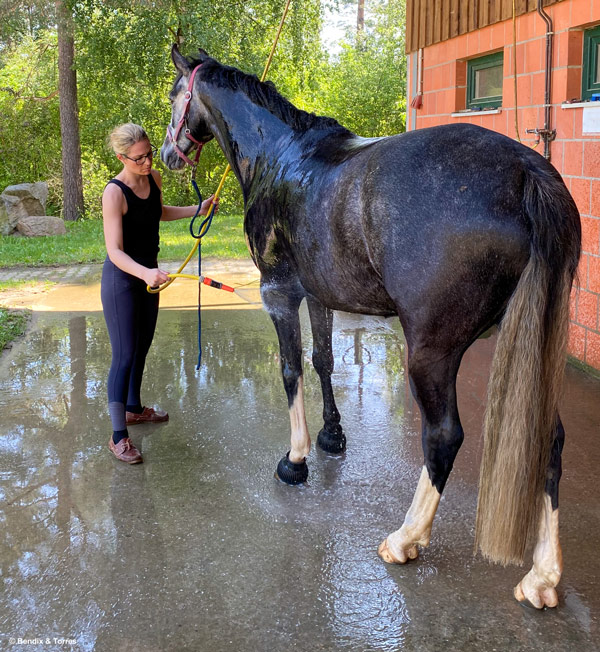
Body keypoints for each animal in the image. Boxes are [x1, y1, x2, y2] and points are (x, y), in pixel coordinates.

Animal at [161, 44, 580, 608]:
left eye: (174, 95)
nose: (168, 154)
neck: (280, 156)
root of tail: (526, 171)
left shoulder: (279, 294)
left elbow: (291, 371)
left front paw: (295, 461)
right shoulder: (318, 296)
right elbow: (323, 361)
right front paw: (331, 435)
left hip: (431, 352)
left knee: (444, 436)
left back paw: (405, 539)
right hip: (531, 348)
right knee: (549, 440)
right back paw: (542, 576)